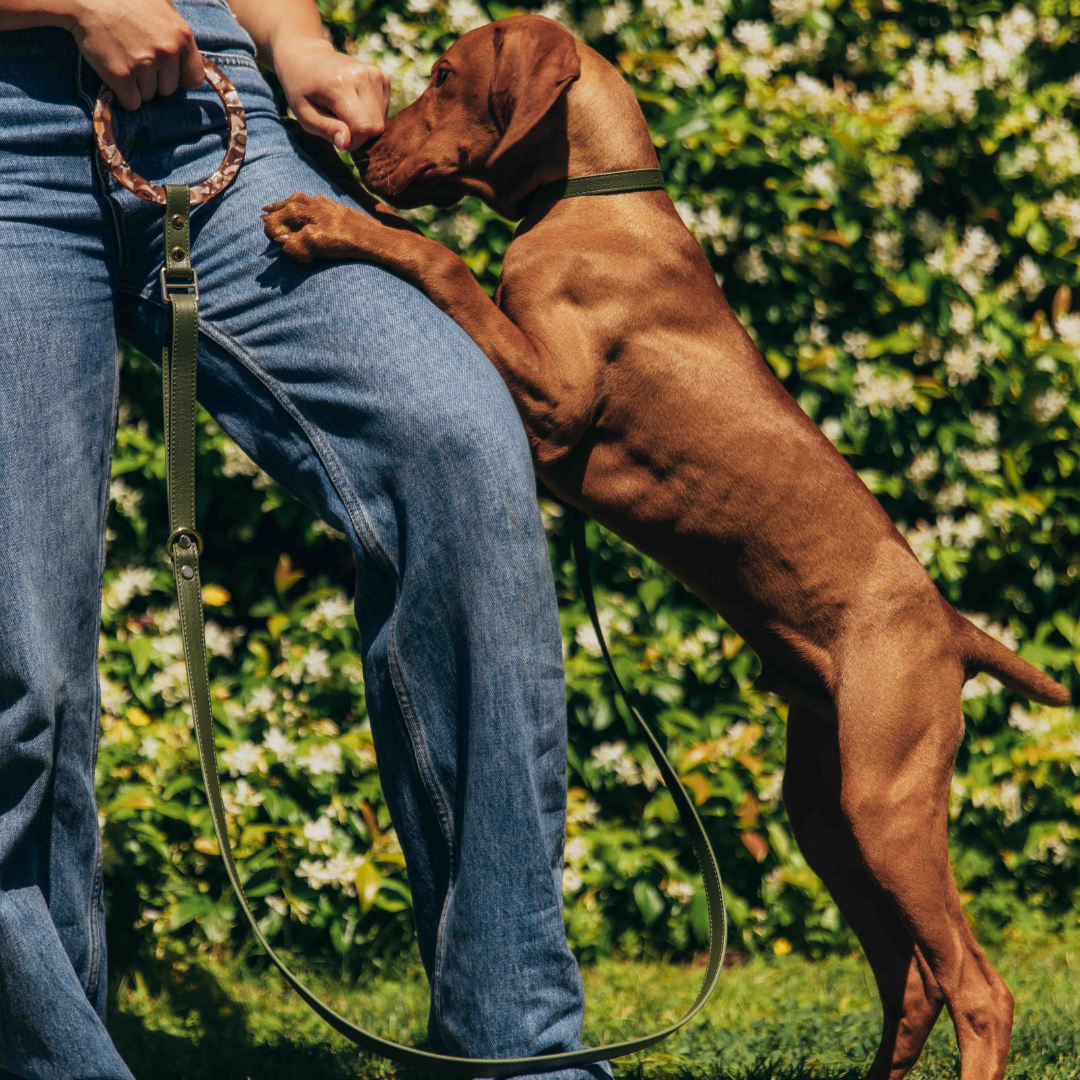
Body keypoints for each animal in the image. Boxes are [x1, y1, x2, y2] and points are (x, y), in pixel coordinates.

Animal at [263, 12, 1071, 1075]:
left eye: (441, 74)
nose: (359, 152)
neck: (594, 201)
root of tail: (952, 626)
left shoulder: (556, 405)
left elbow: (440, 259)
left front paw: (331, 223)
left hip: (891, 801)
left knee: (978, 987)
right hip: (828, 810)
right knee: (912, 980)